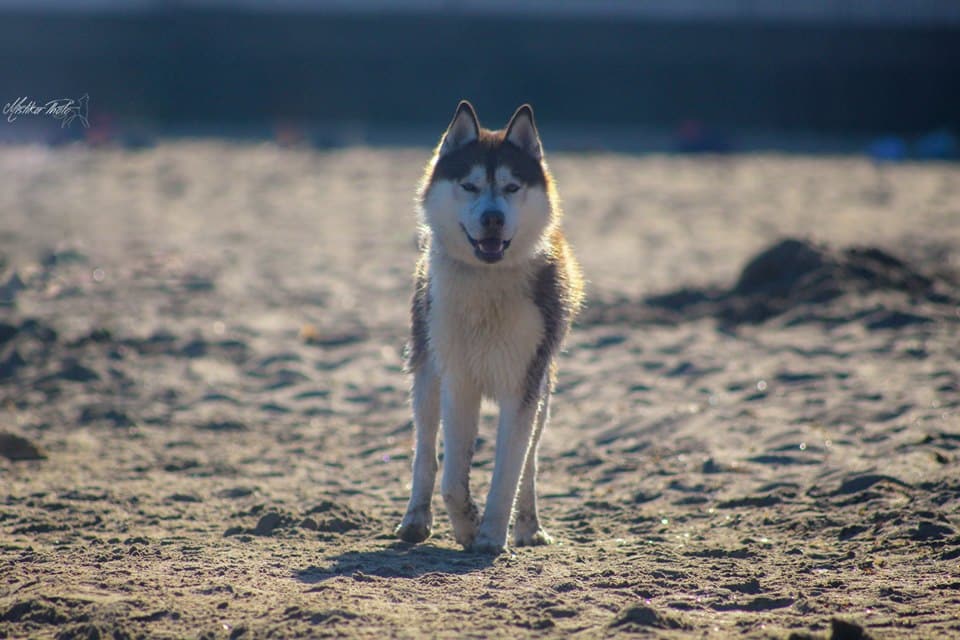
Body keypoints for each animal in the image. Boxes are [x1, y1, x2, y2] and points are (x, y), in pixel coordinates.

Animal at [396, 102, 584, 552]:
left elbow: (509, 472)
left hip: (544, 391)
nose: (493, 218)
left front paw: (491, 535)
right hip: (426, 374)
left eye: (513, 187)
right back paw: (415, 519)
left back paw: (529, 526)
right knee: (425, 451)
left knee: (530, 462)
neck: (487, 280)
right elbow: (451, 478)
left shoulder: (524, 387)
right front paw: (468, 526)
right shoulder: (459, 380)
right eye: (469, 186)